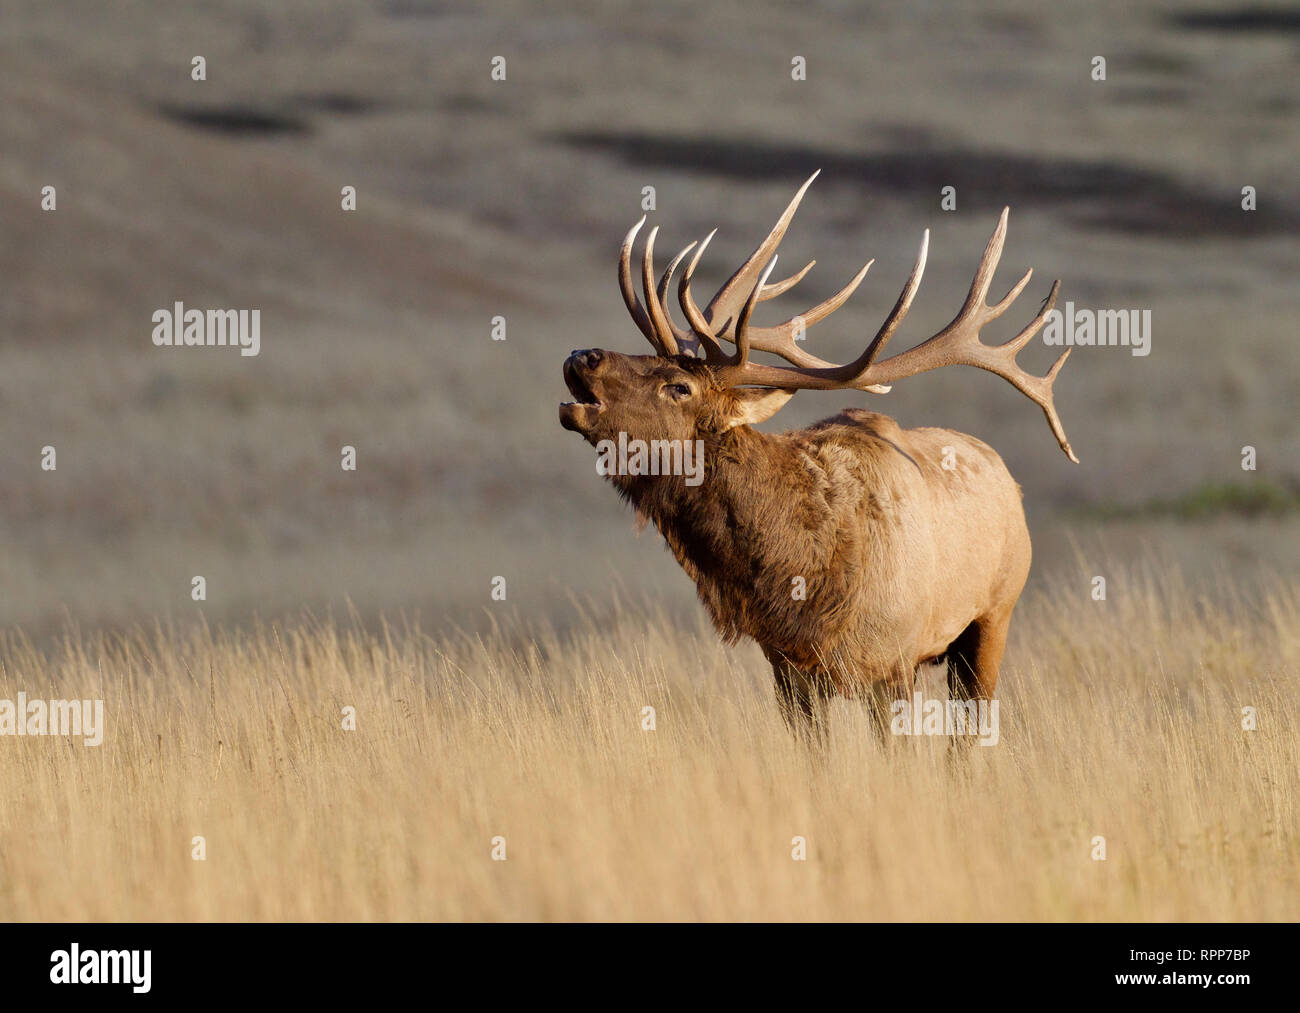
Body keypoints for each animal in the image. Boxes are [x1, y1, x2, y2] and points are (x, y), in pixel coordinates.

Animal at [559, 173, 1077, 747]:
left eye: (680, 387)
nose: (582, 356)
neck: (799, 578)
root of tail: (1008, 479)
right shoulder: (788, 668)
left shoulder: (892, 662)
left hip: (993, 617)